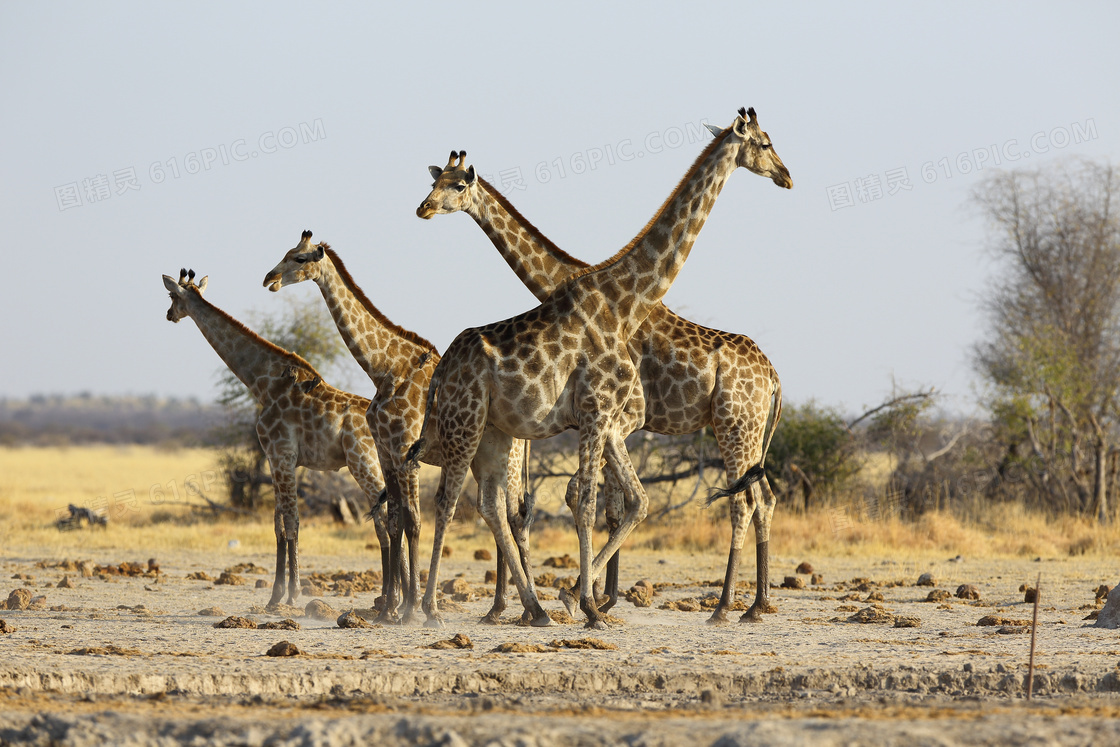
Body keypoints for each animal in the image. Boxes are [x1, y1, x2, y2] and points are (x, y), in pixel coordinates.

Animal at [162, 268, 394, 609]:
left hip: (362, 462)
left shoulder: (282, 454)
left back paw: (391, 602)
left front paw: (292, 593)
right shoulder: (278, 459)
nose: (169, 315)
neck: (263, 383)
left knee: (386, 520)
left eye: (172, 295)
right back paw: (393, 601)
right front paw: (275, 595)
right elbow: (278, 525)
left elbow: (292, 521)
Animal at [264, 235, 539, 627]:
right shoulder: (386, 452)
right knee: (500, 511)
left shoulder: (406, 451)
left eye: (299, 258)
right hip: (481, 458)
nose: (269, 279)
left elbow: (413, 522)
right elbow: (395, 521)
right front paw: (390, 609)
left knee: (514, 516)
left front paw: (412, 609)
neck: (384, 369)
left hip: (507, 457)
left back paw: (522, 610)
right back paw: (498, 609)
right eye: (285, 254)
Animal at [414, 105, 797, 627]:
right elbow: (599, 501)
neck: (620, 300)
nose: (786, 176)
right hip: (473, 422)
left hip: (736, 427)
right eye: (765, 143)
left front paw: (586, 597)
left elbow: (611, 501)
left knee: (751, 499)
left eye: (456, 185)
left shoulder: (613, 419)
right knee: (452, 501)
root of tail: (774, 376)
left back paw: (738, 606)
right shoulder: (605, 418)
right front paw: (589, 599)